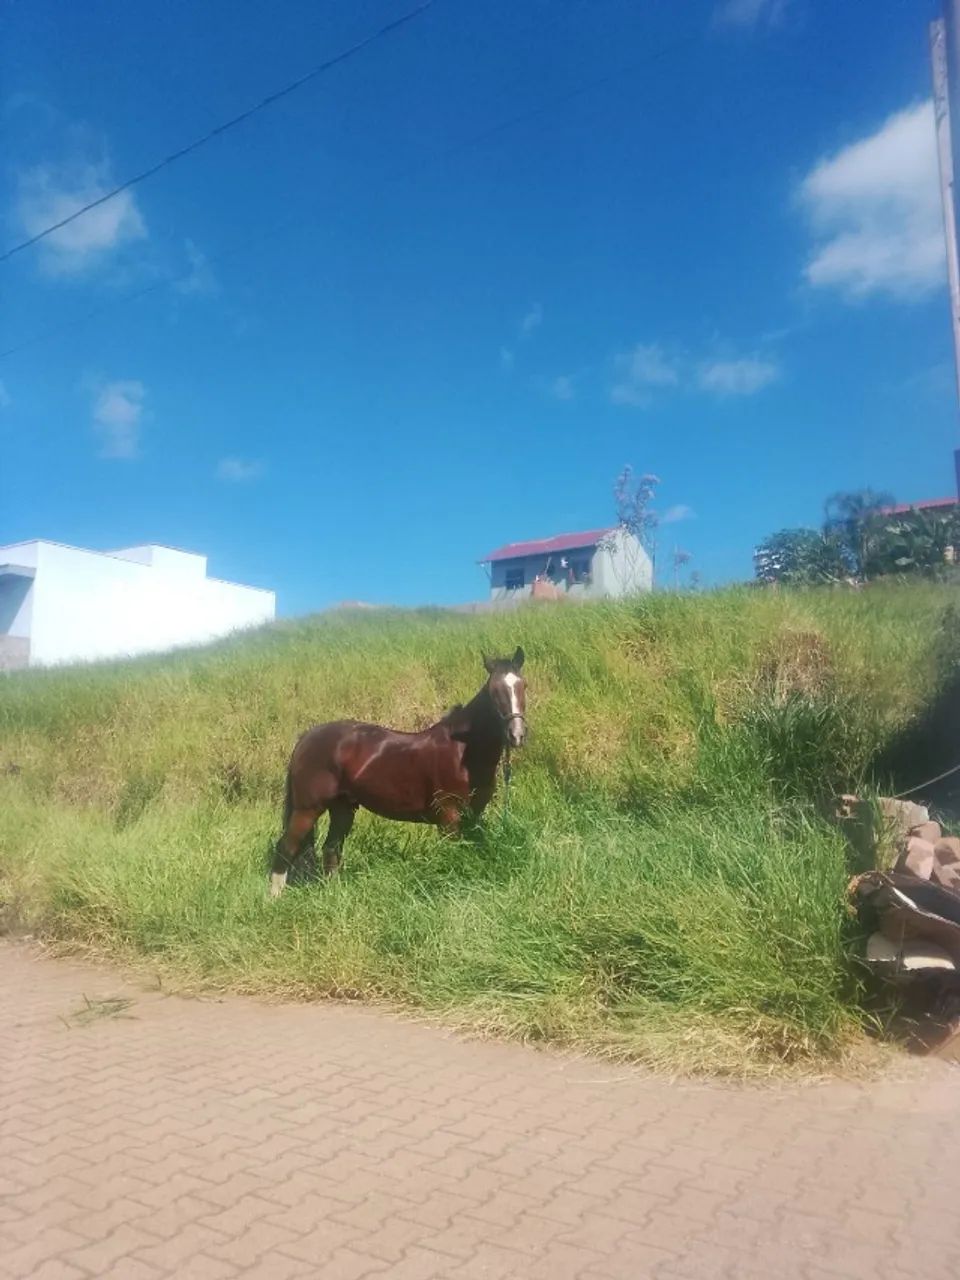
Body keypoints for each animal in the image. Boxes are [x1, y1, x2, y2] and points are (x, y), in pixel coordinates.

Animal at [269, 647, 527, 896]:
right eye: (494, 691)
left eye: (523, 685)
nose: (517, 735)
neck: (463, 752)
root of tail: (306, 738)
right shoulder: (448, 815)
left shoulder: (474, 814)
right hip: (307, 809)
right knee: (286, 848)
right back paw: (274, 899)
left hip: (342, 808)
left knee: (331, 849)